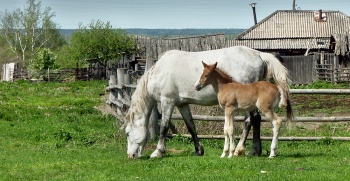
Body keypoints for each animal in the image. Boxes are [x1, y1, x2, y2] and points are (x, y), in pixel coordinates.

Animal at [124, 45, 292, 158]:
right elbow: (191, 126)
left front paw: (158, 151)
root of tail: (258, 54)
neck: (159, 72)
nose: (131, 155)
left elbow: (164, 128)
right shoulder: (182, 104)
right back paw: (254, 151)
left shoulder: (167, 102)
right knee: (255, 120)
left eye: (127, 133)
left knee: (251, 120)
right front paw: (198, 150)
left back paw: (243, 150)